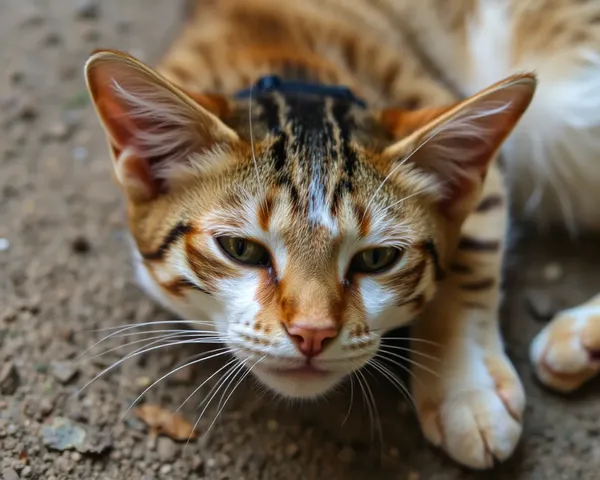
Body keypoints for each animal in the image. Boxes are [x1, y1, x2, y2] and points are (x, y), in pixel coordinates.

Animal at [83, 0, 600, 470]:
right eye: (241, 249)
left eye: (377, 259)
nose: (312, 333)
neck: (287, 60)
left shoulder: (467, 147)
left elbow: (474, 245)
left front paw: (466, 390)